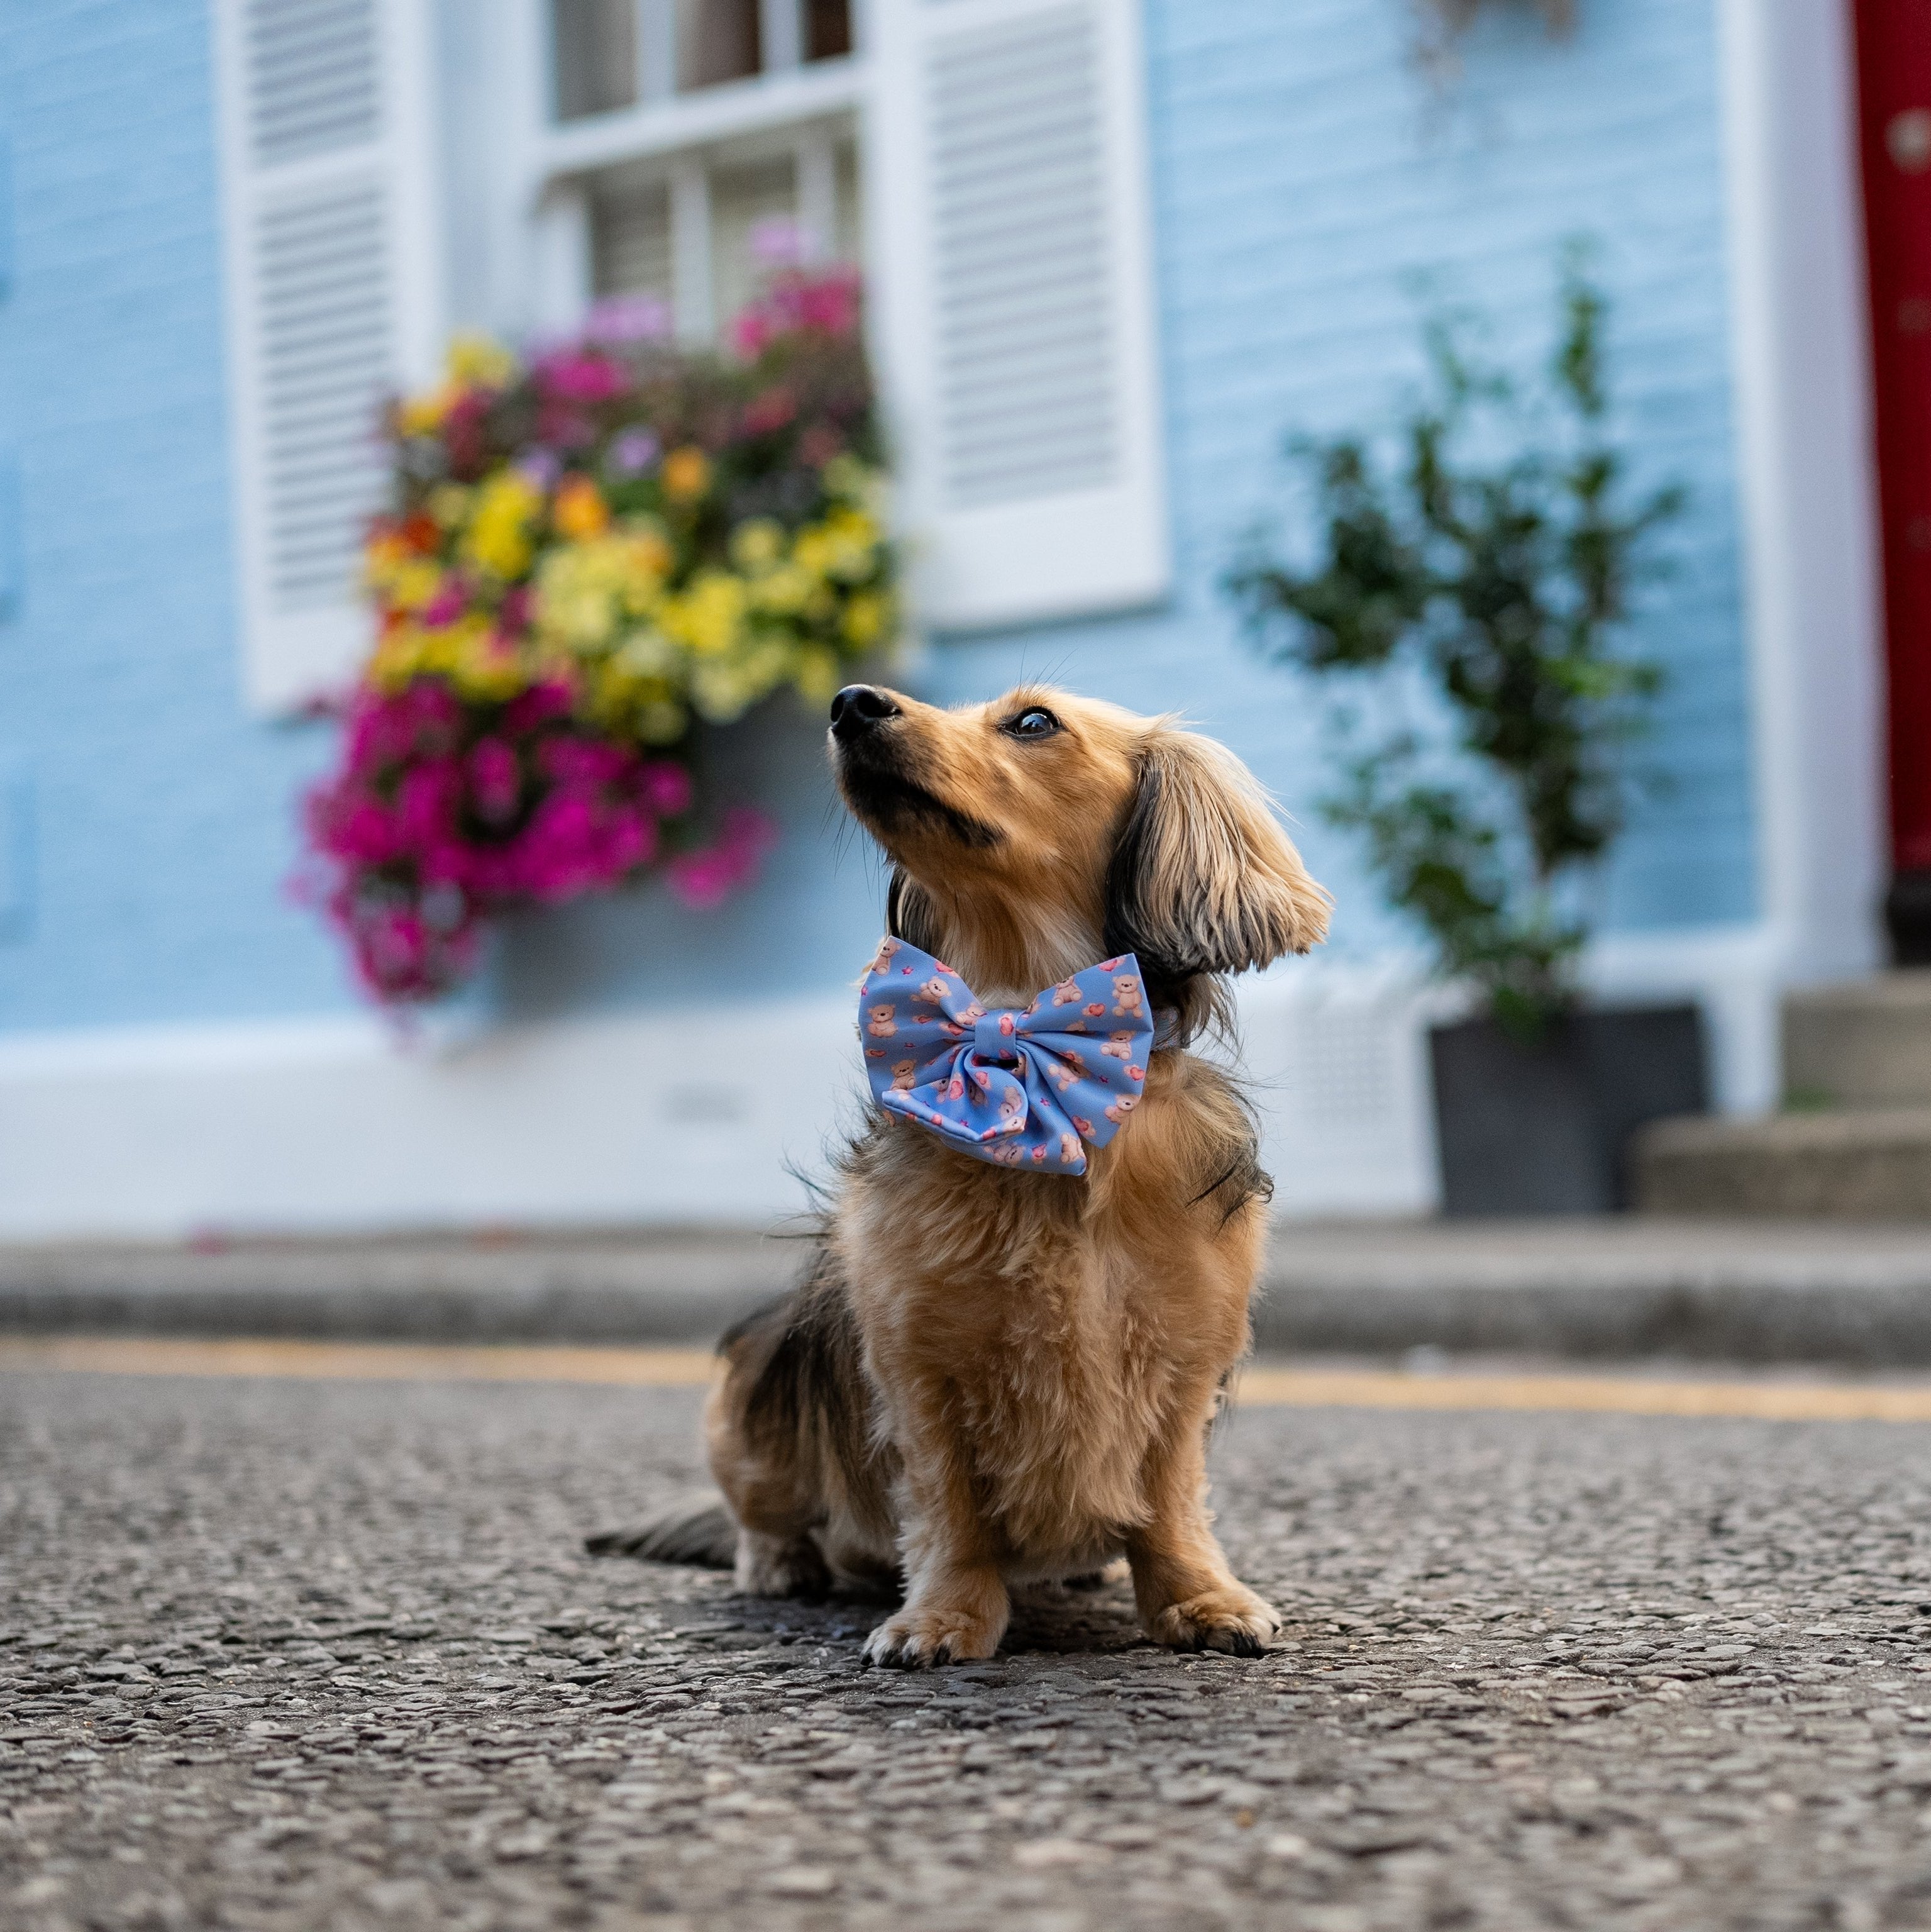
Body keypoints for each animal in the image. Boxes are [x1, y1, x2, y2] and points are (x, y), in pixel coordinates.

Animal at [590, 680, 1328, 1661]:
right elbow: (948, 1513)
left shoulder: (1181, 1364)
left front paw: (1194, 1598)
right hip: (748, 1403)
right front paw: (944, 1615)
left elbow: (1170, 1505)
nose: (849, 702)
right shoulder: (919, 1368)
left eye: (1032, 721)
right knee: (763, 1512)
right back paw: (780, 1563)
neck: (1020, 1037)